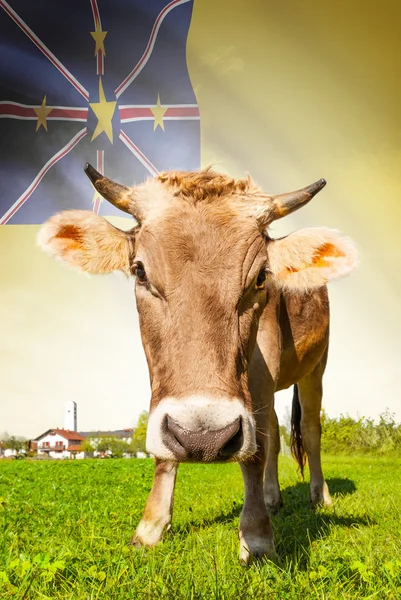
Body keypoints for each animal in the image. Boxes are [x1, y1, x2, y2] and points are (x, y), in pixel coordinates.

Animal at [37, 164, 356, 564]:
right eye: (140, 271)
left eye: (261, 277)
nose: (203, 438)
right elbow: (166, 449)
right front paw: (150, 528)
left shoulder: (263, 362)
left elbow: (255, 451)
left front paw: (257, 536)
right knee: (272, 430)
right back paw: (272, 497)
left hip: (316, 367)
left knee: (310, 432)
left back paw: (319, 496)